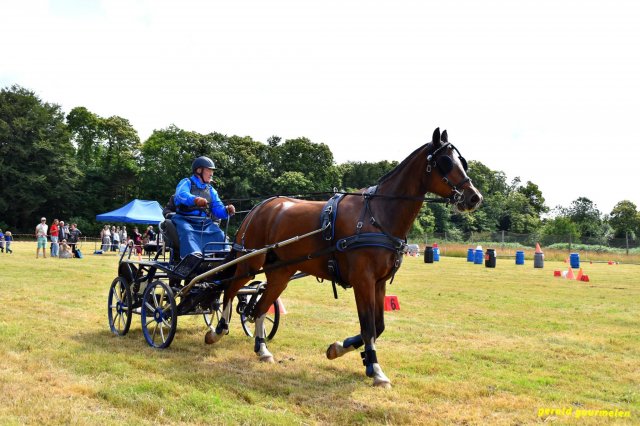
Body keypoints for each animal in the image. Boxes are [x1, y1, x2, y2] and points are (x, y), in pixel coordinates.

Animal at [205, 128, 483, 388]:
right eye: (445, 162)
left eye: (462, 161)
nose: (474, 197)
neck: (378, 215)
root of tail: (260, 207)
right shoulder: (363, 281)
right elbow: (368, 327)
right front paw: (375, 369)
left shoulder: (379, 283)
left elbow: (378, 326)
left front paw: (339, 348)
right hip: (249, 262)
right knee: (231, 289)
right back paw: (218, 330)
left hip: (280, 272)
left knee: (261, 306)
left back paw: (261, 348)